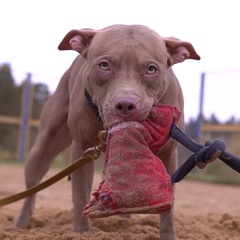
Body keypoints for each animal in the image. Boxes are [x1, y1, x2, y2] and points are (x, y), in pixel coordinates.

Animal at [14, 24, 200, 240]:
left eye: (151, 69)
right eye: (104, 65)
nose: (126, 104)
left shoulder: (169, 153)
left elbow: (168, 205)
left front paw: (168, 235)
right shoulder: (82, 148)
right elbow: (80, 195)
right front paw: (82, 232)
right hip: (44, 144)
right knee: (31, 189)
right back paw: (20, 225)